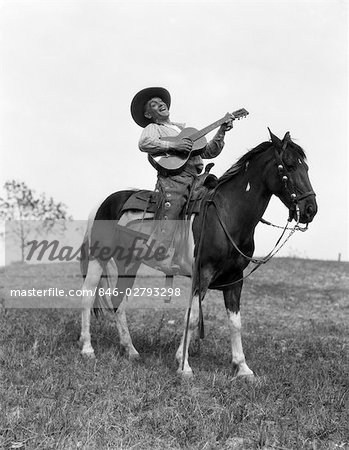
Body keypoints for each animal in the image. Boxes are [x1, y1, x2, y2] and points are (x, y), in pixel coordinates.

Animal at [77, 129, 316, 376]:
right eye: (289, 166)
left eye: (306, 168)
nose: (310, 209)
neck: (226, 214)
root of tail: (101, 204)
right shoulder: (202, 275)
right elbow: (191, 318)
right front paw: (184, 366)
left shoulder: (235, 279)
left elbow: (235, 322)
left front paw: (242, 367)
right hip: (98, 258)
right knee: (87, 296)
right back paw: (87, 349)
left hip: (129, 264)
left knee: (118, 301)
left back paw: (130, 349)